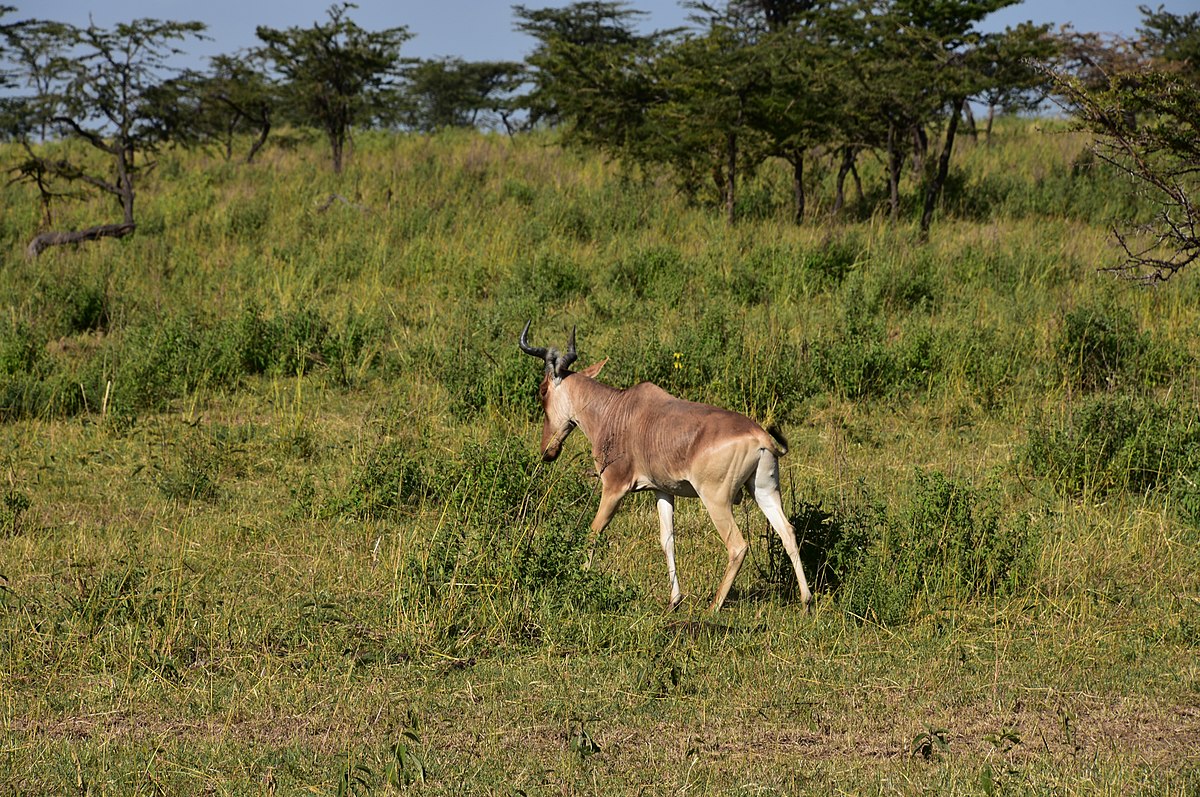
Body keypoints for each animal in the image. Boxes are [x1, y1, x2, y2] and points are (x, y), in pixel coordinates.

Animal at [518, 321, 816, 612]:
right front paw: (675, 600)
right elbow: (667, 540)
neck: (617, 410)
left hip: (716, 499)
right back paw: (805, 601)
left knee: (737, 545)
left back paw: (713, 607)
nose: (547, 452)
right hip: (764, 490)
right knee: (788, 532)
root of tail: (761, 437)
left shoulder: (614, 486)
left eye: (542, 391)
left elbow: (594, 531)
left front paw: (580, 578)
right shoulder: (662, 490)